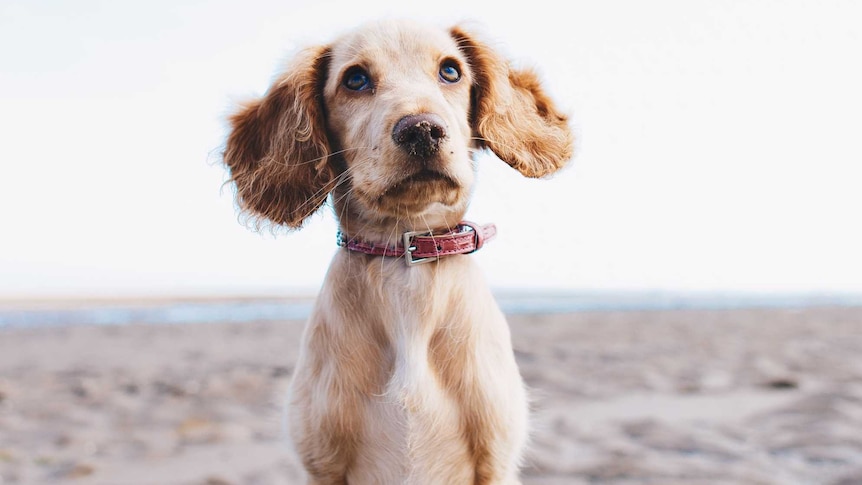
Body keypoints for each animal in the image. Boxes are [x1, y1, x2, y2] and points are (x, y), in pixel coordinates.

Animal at [223, 18, 572, 484]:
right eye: (355, 79)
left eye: (450, 71)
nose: (421, 129)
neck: (406, 262)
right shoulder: (322, 463)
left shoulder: (496, 461)